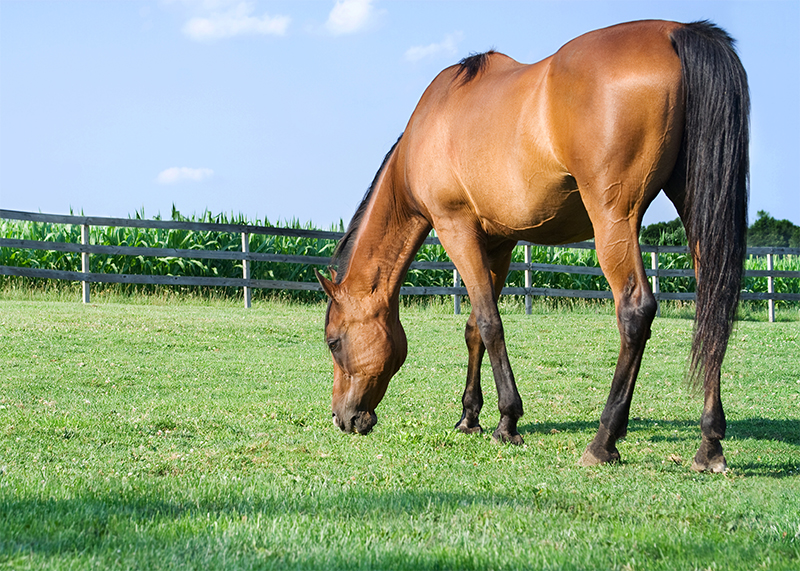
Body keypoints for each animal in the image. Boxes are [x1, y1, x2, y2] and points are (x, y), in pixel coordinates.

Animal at [315, 20, 749, 473]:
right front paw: (470, 416)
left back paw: (604, 440)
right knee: (713, 304)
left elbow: (490, 323)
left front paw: (507, 422)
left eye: (334, 342)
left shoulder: (456, 231)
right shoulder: (499, 244)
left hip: (613, 218)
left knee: (635, 312)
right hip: (696, 208)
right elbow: (474, 327)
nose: (342, 418)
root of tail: (676, 31)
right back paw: (709, 444)